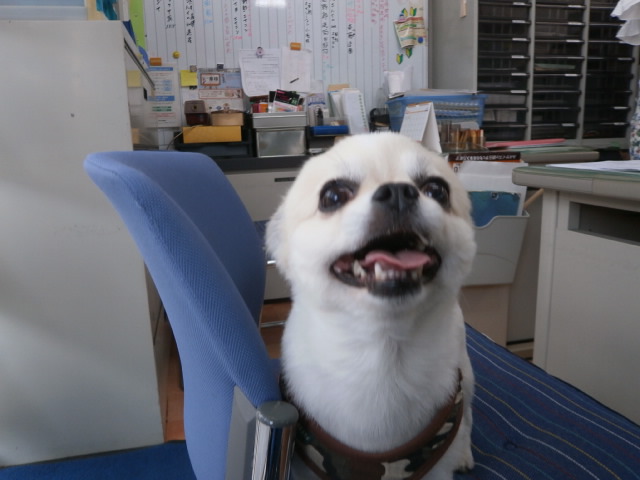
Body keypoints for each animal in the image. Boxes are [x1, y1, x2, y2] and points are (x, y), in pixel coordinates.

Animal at [266, 132, 476, 480]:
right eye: (333, 196)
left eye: (437, 190)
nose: (398, 192)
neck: (383, 355)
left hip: (466, 374)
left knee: (469, 414)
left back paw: (464, 452)